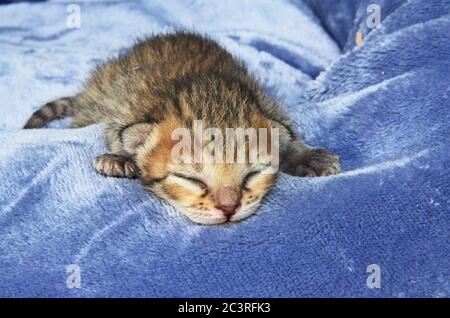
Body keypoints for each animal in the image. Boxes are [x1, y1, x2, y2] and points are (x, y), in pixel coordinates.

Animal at [22, 31, 340, 225]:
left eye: (252, 173)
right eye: (191, 179)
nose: (229, 208)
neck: (205, 89)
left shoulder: (264, 101)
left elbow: (287, 133)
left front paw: (306, 155)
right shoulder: (124, 104)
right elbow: (118, 132)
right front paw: (120, 157)